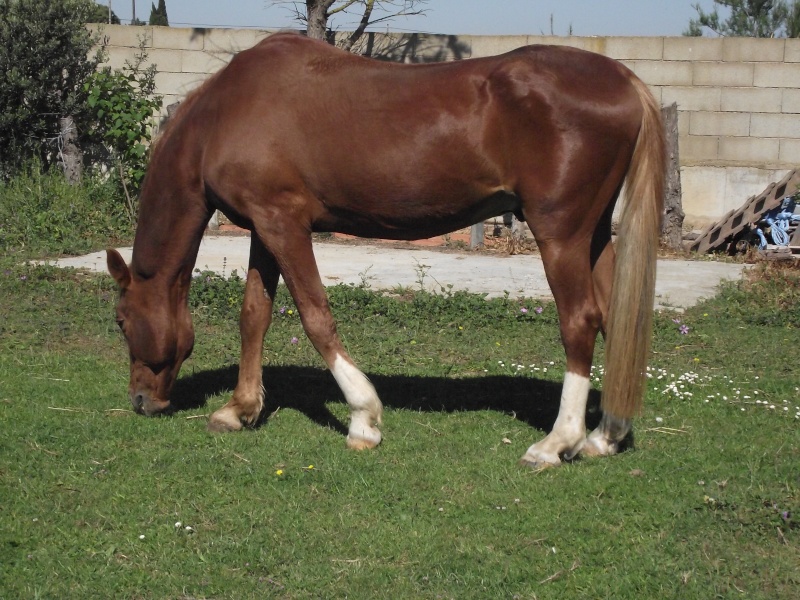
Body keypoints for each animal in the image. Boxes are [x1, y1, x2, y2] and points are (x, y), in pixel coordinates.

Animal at [108, 32, 668, 468]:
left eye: (119, 320)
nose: (140, 401)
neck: (225, 113)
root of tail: (625, 80)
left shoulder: (283, 224)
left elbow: (315, 316)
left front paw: (363, 418)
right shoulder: (262, 228)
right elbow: (254, 316)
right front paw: (239, 409)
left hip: (560, 236)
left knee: (580, 321)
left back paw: (557, 442)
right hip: (593, 235)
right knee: (615, 317)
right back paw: (604, 437)